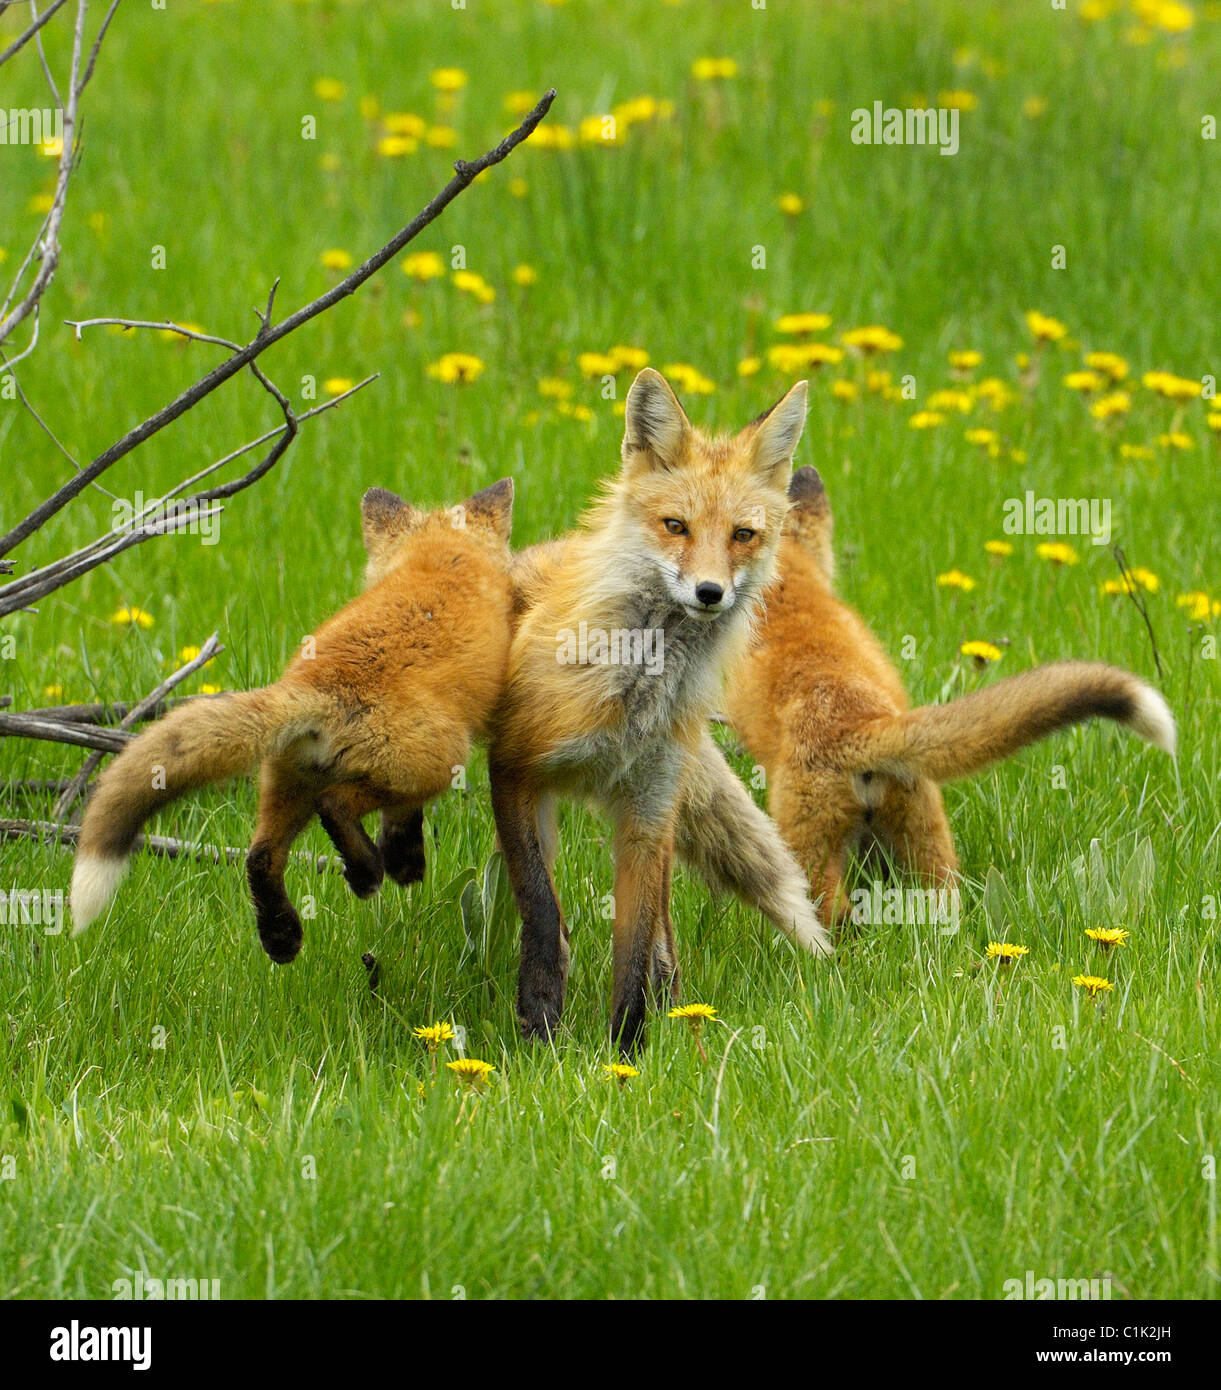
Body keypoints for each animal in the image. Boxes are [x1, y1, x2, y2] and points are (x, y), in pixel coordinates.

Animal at [70, 483, 520, 961]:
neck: (441, 559)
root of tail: (316, 685)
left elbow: (401, 823)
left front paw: (406, 861)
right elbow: (400, 816)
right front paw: (402, 862)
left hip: (286, 782)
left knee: (261, 855)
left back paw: (282, 935)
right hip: (427, 764)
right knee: (335, 805)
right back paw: (366, 873)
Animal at [486, 369, 834, 1050]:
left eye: (742, 535)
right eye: (676, 526)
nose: (710, 592)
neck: (634, 698)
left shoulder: (649, 811)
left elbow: (635, 950)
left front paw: (626, 1053)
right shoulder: (512, 768)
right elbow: (539, 907)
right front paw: (540, 1019)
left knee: (664, 936)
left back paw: (676, 1010)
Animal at [728, 467, 1173, 922]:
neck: (792, 592)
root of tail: (861, 722)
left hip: (813, 850)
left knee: (833, 918)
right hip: (925, 838)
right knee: (940, 904)